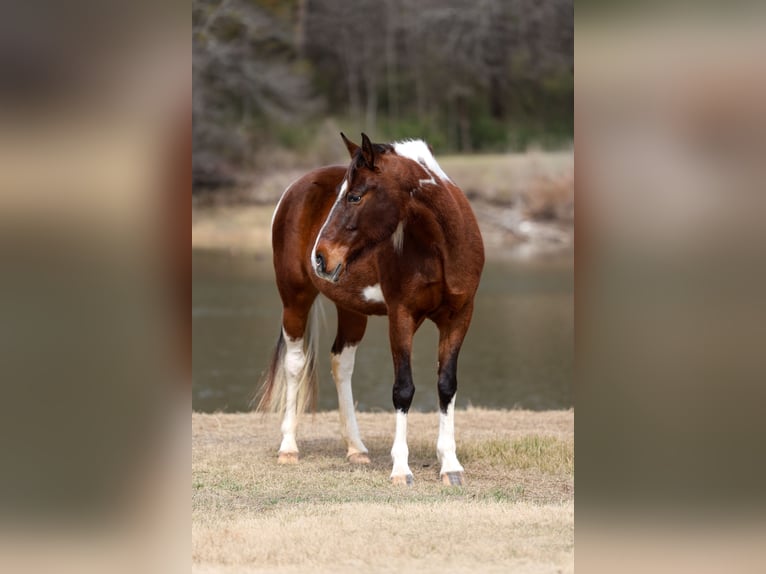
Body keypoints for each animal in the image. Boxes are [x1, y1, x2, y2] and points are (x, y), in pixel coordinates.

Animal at [257, 133, 484, 485]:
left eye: (354, 196)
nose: (320, 257)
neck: (442, 246)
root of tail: (294, 188)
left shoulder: (459, 316)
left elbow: (446, 385)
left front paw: (450, 465)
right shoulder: (401, 316)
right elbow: (403, 388)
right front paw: (401, 469)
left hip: (352, 310)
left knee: (342, 364)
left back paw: (356, 448)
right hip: (295, 299)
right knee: (295, 364)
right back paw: (289, 448)